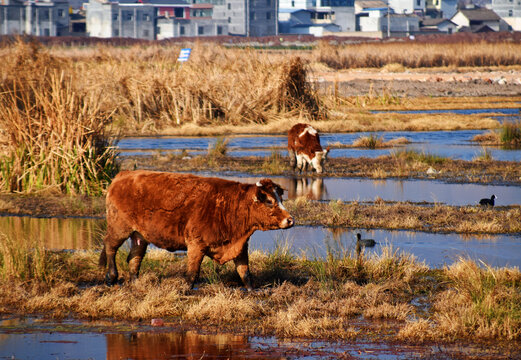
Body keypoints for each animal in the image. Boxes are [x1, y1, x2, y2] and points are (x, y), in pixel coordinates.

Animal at [97, 170, 292, 292]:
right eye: (269, 201)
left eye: (280, 199)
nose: (290, 219)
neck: (230, 206)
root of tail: (124, 175)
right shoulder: (196, 245)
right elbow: (192, 273)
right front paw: (185, 290)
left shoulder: (240, 246)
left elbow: (245, 273)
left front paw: (253, 291)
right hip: (118, 228)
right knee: (110, 247)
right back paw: (111, 277)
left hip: (139, 235)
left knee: (134, 257)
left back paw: (135, 281)